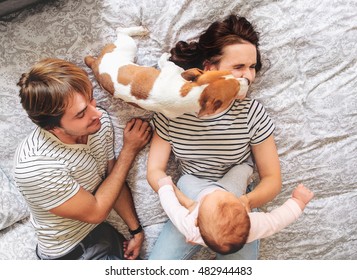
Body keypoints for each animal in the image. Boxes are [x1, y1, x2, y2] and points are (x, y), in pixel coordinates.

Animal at [85, 26, 249, 118]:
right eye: (235, 91)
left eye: (230, 73)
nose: (247, 80)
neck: (191, 91)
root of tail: (95, 62)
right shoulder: (170, 68)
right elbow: (164, 61)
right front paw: (165, 55)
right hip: (127, 47)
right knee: (121, 32)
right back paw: (138, 29)